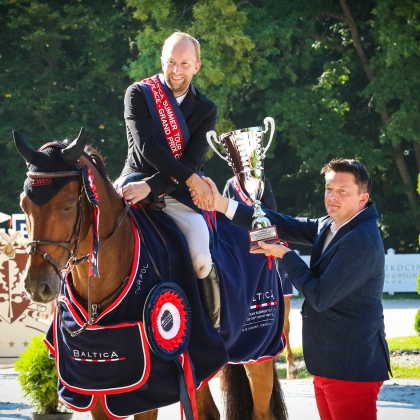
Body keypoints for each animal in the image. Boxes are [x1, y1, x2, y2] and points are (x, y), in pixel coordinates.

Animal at [14, 128, 288, 420]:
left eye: (67, 205)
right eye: (24, 205)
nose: (37, 285)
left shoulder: (149, 389)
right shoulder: (94, 386)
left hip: (259, 350)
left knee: (261, 410)